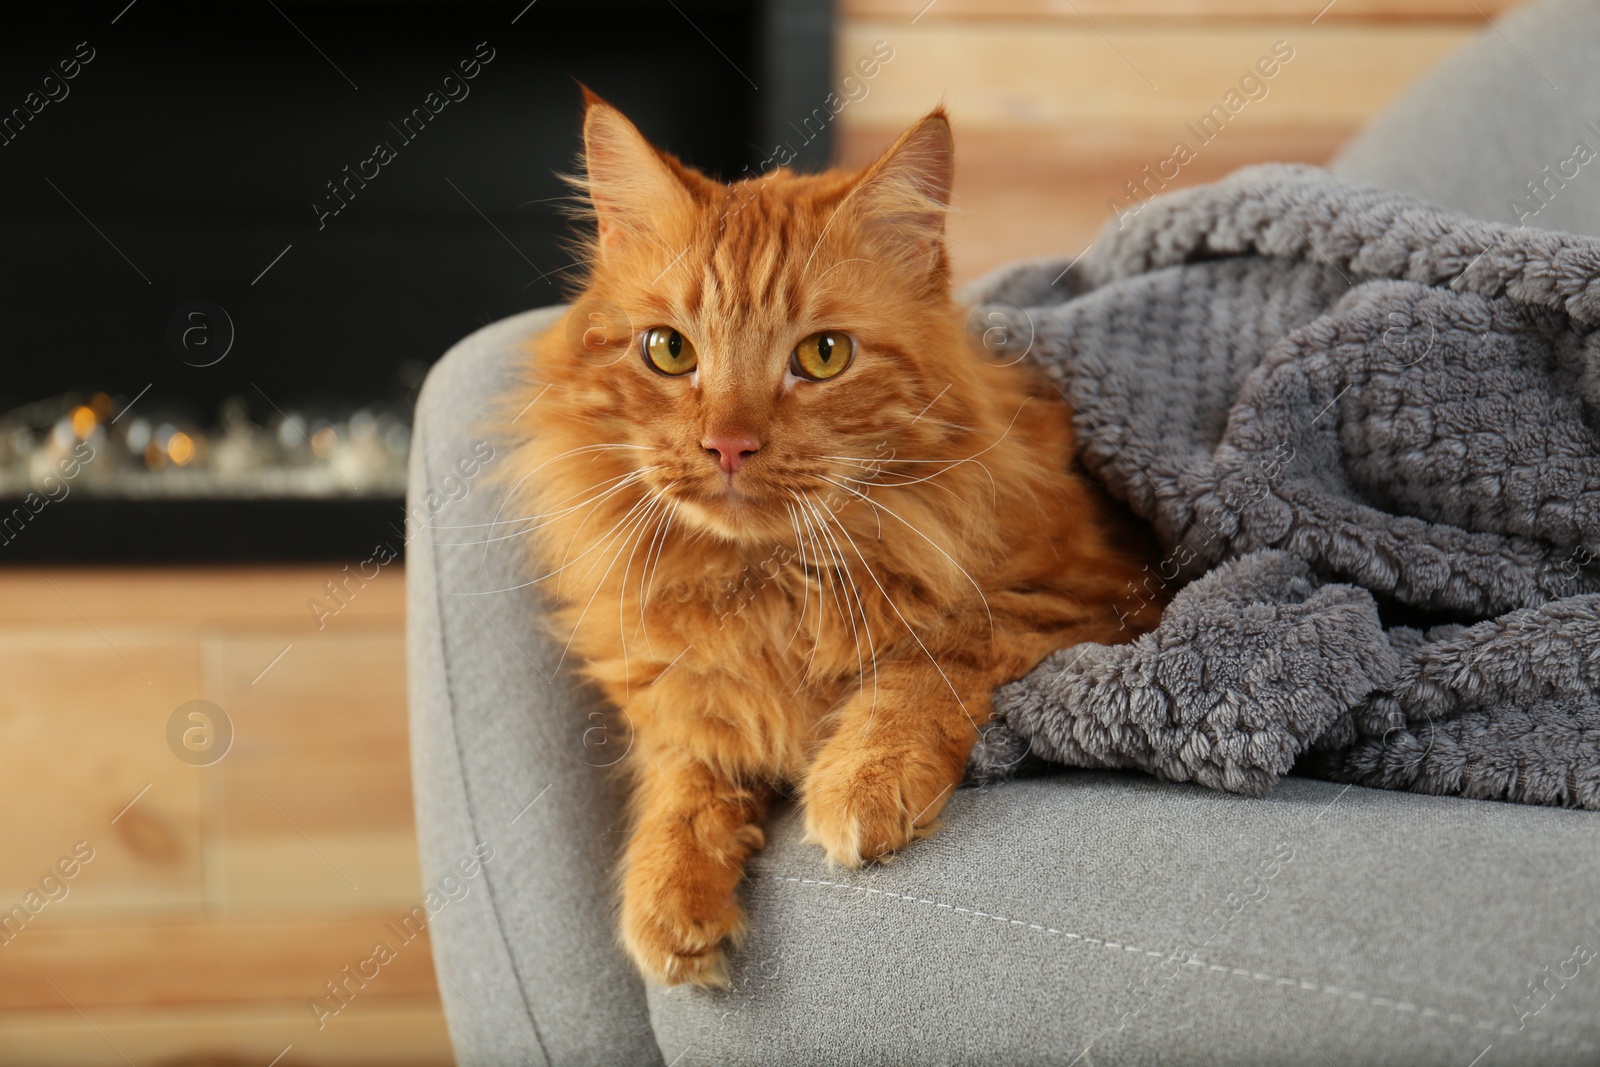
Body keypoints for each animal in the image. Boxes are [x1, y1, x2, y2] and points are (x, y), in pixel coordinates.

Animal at [512, 95, 1164, 991]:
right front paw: (668, 889)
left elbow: (937, 655)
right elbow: (686, 768)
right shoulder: (679, 686)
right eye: (669, 350)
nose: (728, 444)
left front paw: (864, 777)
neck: (772, 586)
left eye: (822, 356)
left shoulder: (1091, 595)